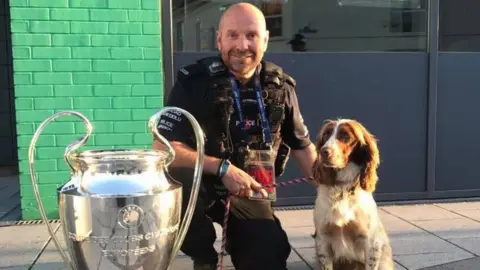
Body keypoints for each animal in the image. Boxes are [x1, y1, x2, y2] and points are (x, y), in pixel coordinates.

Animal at [312, 119, 394, 268]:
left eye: (345, 136)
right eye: (326, 135)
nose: (323, 151)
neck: (342, 188)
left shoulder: (371, 242)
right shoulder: (322, 239)